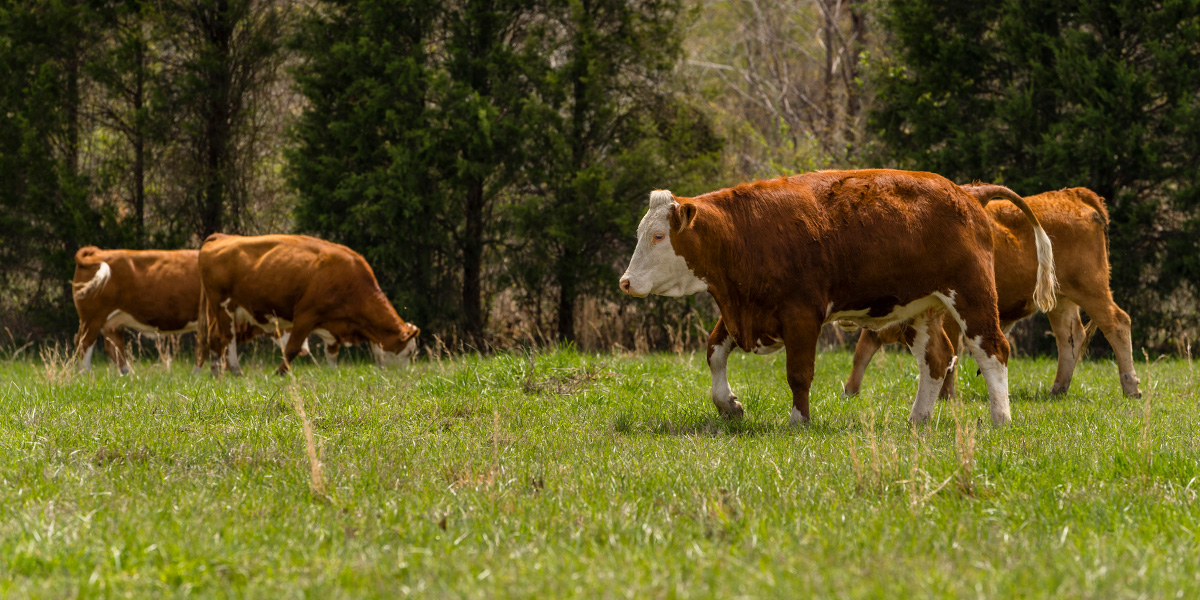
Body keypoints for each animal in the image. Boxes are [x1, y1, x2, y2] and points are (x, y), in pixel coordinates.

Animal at [72, 246, 312, 374]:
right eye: (286, 321)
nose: (304, 350)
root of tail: (96, 252)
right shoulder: (215, 317)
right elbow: (210, 345)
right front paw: (206, 373)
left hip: (112, 323)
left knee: (114, 349)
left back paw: (127, 376)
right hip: (92, 319)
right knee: (84, 345)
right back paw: (85, 376)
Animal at [197, 233, 420, 375]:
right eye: (409, 352)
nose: (406, 375)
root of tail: (221, 236)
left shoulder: (333, 326)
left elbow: (332, 353)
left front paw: (333, 373)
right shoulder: (306, 315)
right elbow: (292, 348)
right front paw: (279, 373)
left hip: (223, 311)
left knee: (215, 337)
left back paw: (217, 372)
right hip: (224, 306)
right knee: (228, 338)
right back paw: (236, 371)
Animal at [618, 170, 1056, 427]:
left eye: (658, 235)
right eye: (642, 232)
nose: (625, 281)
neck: (745, 233)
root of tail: (967, 191)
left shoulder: (801, 316)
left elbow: (799, 374)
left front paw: (799, 421)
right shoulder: (740, 310)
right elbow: (713, 353)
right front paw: (729, 404)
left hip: (972, 295)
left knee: (992, 349)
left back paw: (1001, 417)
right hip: (920, 310)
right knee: (936, 358)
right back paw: (918, 418)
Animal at [842, 186, 1141, 399]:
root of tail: (1072, 195)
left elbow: (948, 352)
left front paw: (945, 395)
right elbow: (863, 349)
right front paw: (850, 390)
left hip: (1091, 289)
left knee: (1117, 322)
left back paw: (1131, 388)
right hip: (1061, 300)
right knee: (1070, 337)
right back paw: (1057, 390)